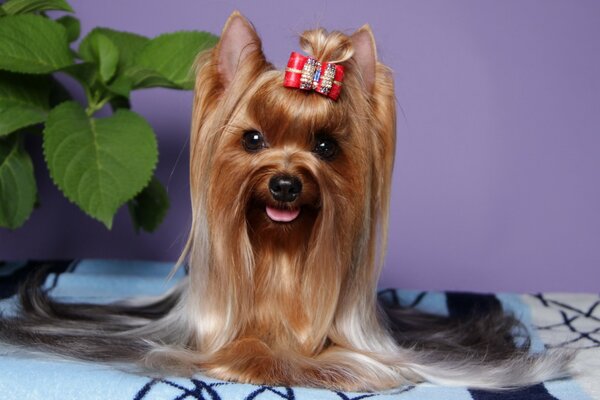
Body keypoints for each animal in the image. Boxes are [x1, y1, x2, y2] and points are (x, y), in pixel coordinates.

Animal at [0, 11, 572, 390]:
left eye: (326, 146)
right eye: (253, 139)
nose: (284, 184)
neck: (281, 253)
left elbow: (361, 359)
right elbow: (241, 348)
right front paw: (262, 356)